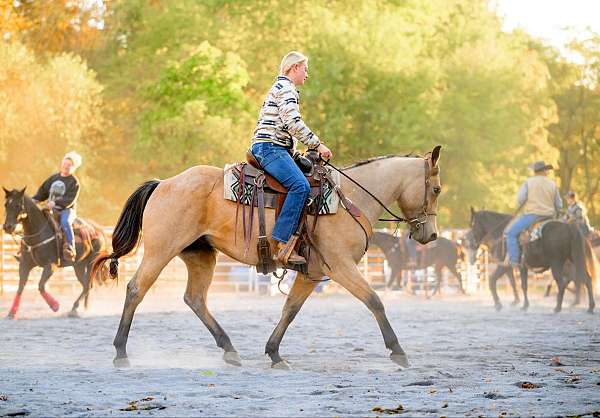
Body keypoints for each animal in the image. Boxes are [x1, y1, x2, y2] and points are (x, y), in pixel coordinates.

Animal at [2, 188, 105, 318]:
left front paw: (55, 306)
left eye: (18, 205)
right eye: (6, 204)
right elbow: (20, 287)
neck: (37, 232)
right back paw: (80, 308)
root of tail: (99, 231)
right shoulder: (24, 264)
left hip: (92, 263)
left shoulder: (50, 265)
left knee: (88, 285)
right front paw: (12, 313)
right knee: (86, 285)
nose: (7, 227)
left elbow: (41, 286)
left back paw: (74, 309)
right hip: (79, 265)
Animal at [91, 147, 442, 370]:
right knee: (136, 289)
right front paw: (398, 351)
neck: (348, 200)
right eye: (437, 189)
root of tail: (164, 183)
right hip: (161, 250)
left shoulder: (312, 272)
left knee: (195, 299)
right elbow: (374, 301)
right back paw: (121, 353)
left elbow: (290, 309)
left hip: (200, 254)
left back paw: (230, 350)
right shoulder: (340, 266)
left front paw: (274, 354)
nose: (432, 235)